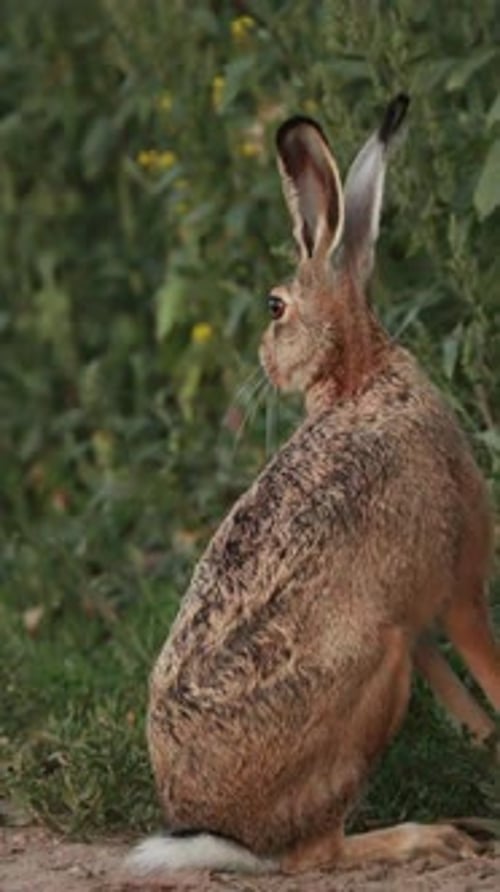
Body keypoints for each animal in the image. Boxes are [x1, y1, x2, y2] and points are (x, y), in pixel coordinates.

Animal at [127, 94, 500, 878]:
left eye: (274, 307)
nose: (266, 362)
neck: (359, 378)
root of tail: (229, 830)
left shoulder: (421, 621)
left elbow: (464, 700)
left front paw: (488, 746)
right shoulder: (458, 590)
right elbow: (486, 662)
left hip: (388, 653)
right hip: (372, 665)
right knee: (314, 853)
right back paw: (430, 836)